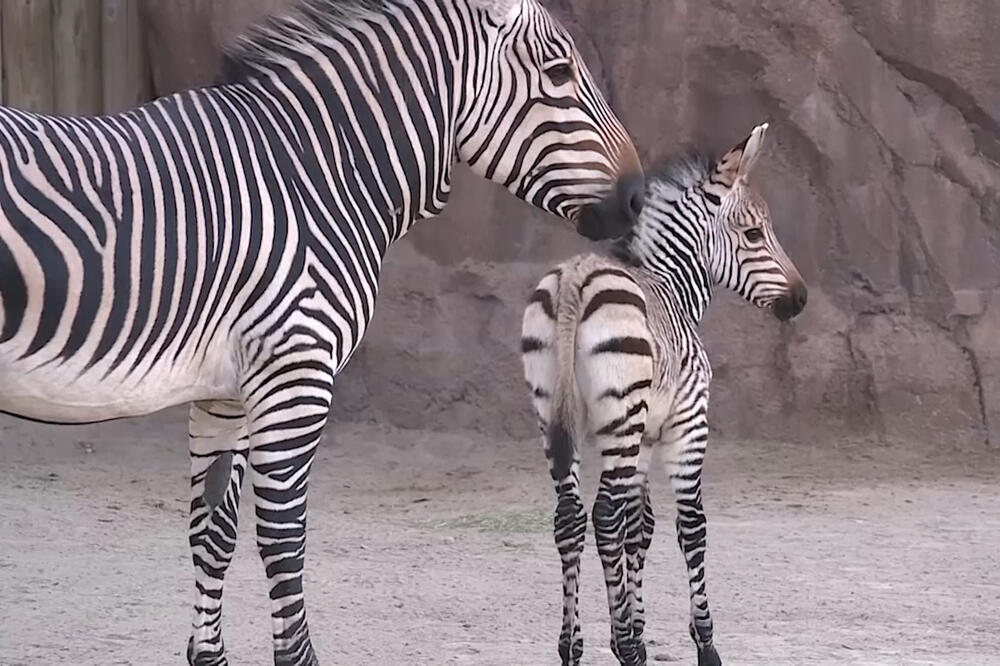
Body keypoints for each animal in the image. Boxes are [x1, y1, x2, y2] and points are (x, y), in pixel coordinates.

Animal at [0, 1, 646, 664]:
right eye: (559, 72)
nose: (637, 197)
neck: (314, 174)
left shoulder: (226, 393)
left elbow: (212, 531)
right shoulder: (298, 373)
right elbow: (284, 538)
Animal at [521, 123, 807, 666]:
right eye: (754, 234)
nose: (800, 299)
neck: (673, 288)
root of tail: (576, 278)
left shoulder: (646, 435)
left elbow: (641, 526)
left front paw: (631, 628)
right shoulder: (687, 423)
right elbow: (688, 526)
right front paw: (701, 643)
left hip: (556, 414)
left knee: (572, 517)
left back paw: (572, 647)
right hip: (621, 415)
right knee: (603, 515)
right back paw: (628, 651)